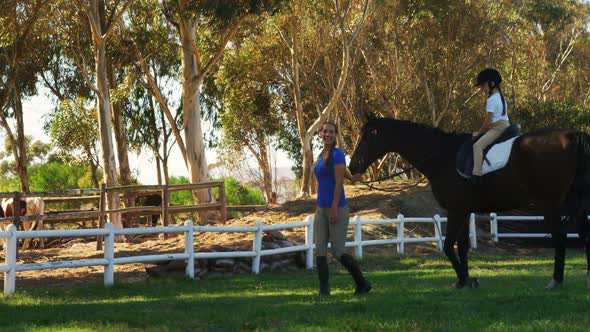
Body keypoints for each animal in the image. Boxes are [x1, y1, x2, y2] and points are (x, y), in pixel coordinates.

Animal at [350, 118, 590, 290]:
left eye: (367, 137)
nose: (353, 167)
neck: (442, 156)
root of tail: (571, 135)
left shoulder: (456, 210)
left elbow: (449, 246)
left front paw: (465, 279)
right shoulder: (464, 211)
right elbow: (463, 245)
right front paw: (465, 279)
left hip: (552, 204)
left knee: (561, 237)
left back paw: (556, 280)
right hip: (573, 202)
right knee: (583, 233)